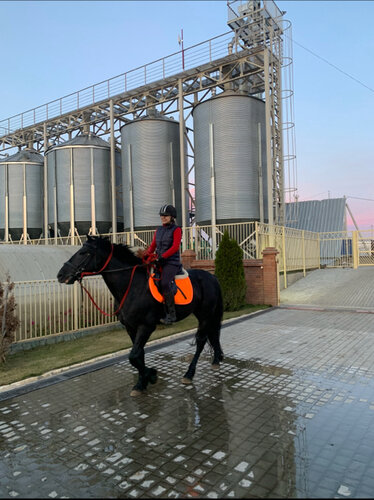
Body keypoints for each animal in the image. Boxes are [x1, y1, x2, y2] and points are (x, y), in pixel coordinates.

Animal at [57, 236, 224, 396]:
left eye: (84, 253)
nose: (61, 275)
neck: (132, 287)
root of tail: (212, 277)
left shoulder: (146, 326)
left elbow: (133, 356)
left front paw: (151, 376)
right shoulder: (131, 327)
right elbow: (138, 355)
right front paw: (142, 382)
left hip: (205, 315)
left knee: (201, 341)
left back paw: (189, 374)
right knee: (212, 334)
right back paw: (216, 359)